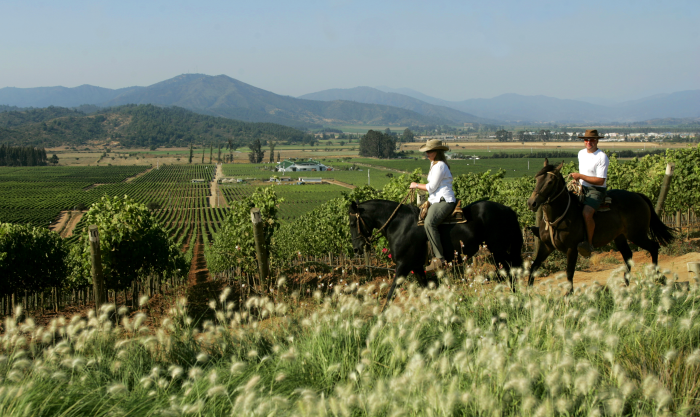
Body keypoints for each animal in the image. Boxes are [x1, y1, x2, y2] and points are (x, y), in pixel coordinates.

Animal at [348, 198, 524, 302]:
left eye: (351, 223)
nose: (356, 249)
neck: (399, 225)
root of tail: (507, 209)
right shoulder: (417, 267)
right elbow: (426, 292)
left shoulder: (403, 266)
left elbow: (391, 294)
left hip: (499, 250)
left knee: (509, 273)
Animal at [524, 159, 672, 290]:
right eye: (537, 179)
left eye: (550, 181)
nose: (532, 203)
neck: (559, 216)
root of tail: (638, 195)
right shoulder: (547, 246)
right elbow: (534, 267)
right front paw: (528, 292)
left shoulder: (572, 249)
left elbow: (569, 272)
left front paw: (568, 295)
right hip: (620, 237)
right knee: (628, 255)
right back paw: (626, 282)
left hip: (637, 235)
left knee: (653, 247)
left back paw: (657, 277)